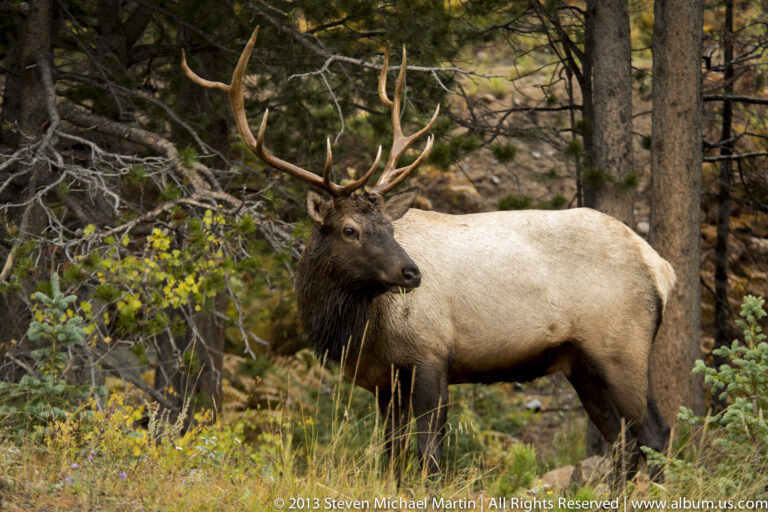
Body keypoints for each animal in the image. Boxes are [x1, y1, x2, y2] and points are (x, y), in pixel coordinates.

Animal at [182, 26, 673, 479]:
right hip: (580, 362)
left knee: (655, 432)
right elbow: (393, 456)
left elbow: (429, 455)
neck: (358, 331)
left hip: (621, 345)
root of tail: (661, 267)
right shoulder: (384, 381)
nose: (412, 273)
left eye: (389, 226)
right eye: (350, 229)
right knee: (621, 441)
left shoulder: (431, 355)